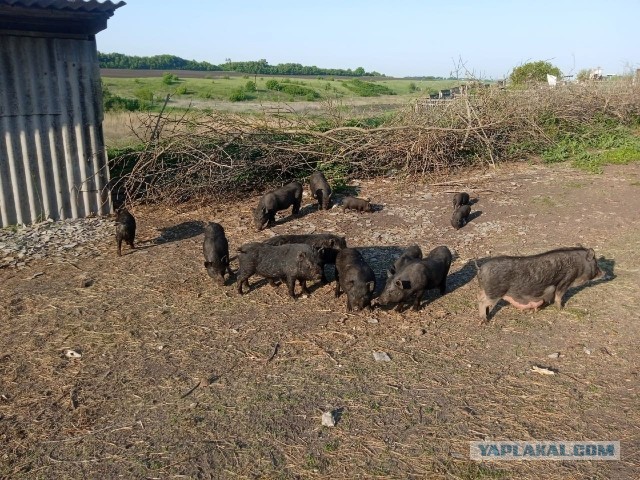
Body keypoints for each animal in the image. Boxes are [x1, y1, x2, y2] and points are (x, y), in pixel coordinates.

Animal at [476, 246, 605, 322]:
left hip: (485, 291)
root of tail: (481, 269)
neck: (579, 265)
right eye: (595, 263)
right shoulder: (565, 281)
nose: (604, 272)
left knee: (480, 298)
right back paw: (484, 321)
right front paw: (561, 308)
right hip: (495, 293)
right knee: (482, 302)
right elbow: (559, 296)